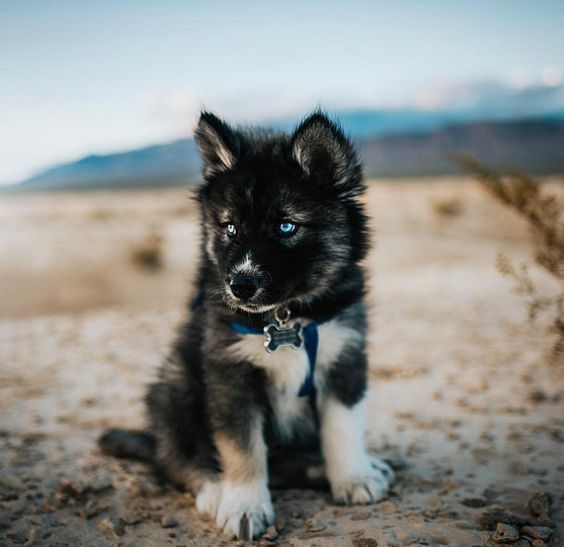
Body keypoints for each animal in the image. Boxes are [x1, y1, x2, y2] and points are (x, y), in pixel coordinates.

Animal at [100, 110, 392, 540]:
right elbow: (242, 449)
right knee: (176, 457)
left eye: (286, 226)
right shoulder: (229, 374)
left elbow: (342, 427)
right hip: (176, 384)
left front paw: (354, 477)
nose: (239, 285)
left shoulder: (345, 356)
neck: (285, 318)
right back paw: (213, 490)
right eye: (230, 228)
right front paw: (244, 506)